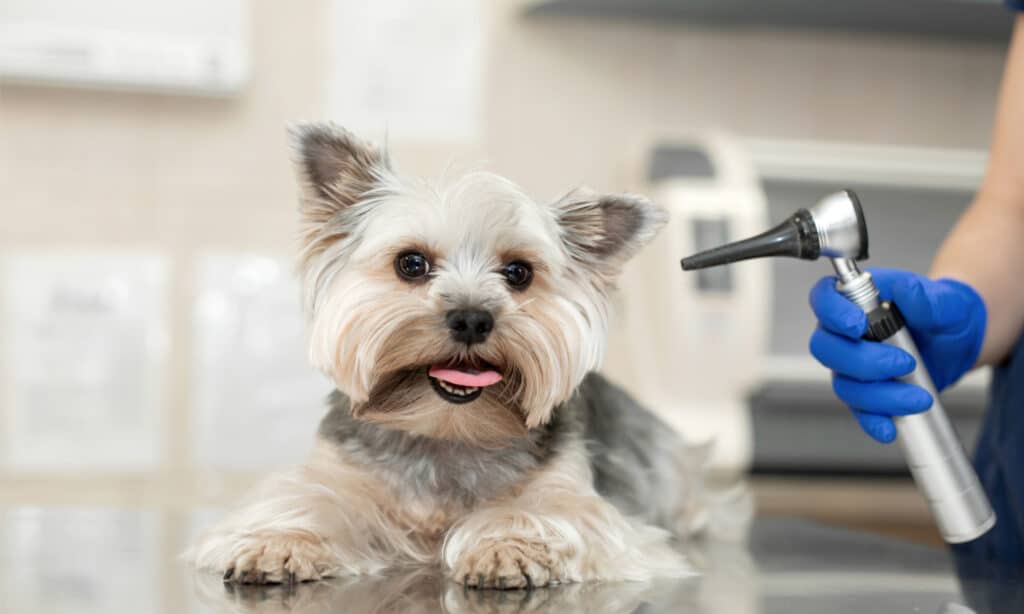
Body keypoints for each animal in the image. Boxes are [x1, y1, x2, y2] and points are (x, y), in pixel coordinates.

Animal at [188, 123, 724, 589]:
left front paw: (508, 546)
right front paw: (280, 541)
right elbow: (305, 500)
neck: (447, 430)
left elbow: (550, 515)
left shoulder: (579, 499)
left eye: (518, 272)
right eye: (411, 263)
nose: (471, 318)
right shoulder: (337, 471)